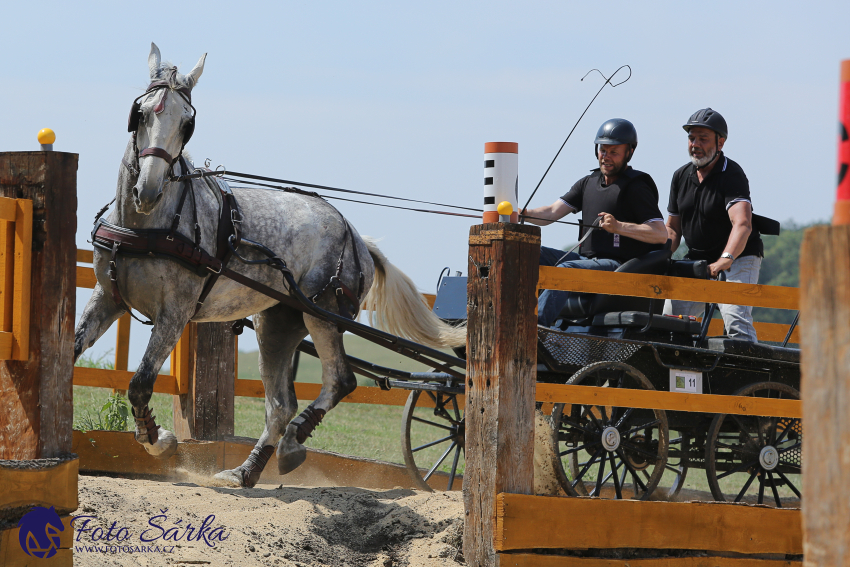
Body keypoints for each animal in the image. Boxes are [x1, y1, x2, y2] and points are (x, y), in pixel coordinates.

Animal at [74, 44, 464, 488]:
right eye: (139, 113)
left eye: (187, 123)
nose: (149, 191)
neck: (149, 225)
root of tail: (358, 238)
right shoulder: (107, 298)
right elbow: (70, 352)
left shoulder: (175, 314)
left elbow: (139, 383)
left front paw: (160, 442)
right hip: (276, 323)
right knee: (280, 405)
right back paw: (247, 470)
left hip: (323, 313)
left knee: (339, 381)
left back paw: (293, 441)